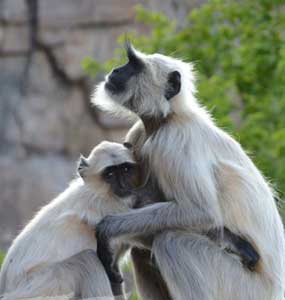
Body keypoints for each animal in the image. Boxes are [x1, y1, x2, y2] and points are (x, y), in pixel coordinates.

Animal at [0, 141, 140, 300]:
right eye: (109, 175)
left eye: (125, 170)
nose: (123, 185)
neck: (98, 192)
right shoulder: (107, 207)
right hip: (41, 286)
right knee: (87, 260)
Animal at [92, 45, 284, 300]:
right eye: (127, 63)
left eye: (133, 65)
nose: (115, 70)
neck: (166, 120)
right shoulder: (137, 135)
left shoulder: (174, 141)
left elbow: (202, 212)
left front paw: (108, 229)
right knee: (144, 250)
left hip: (243, 288)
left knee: (171, 241)